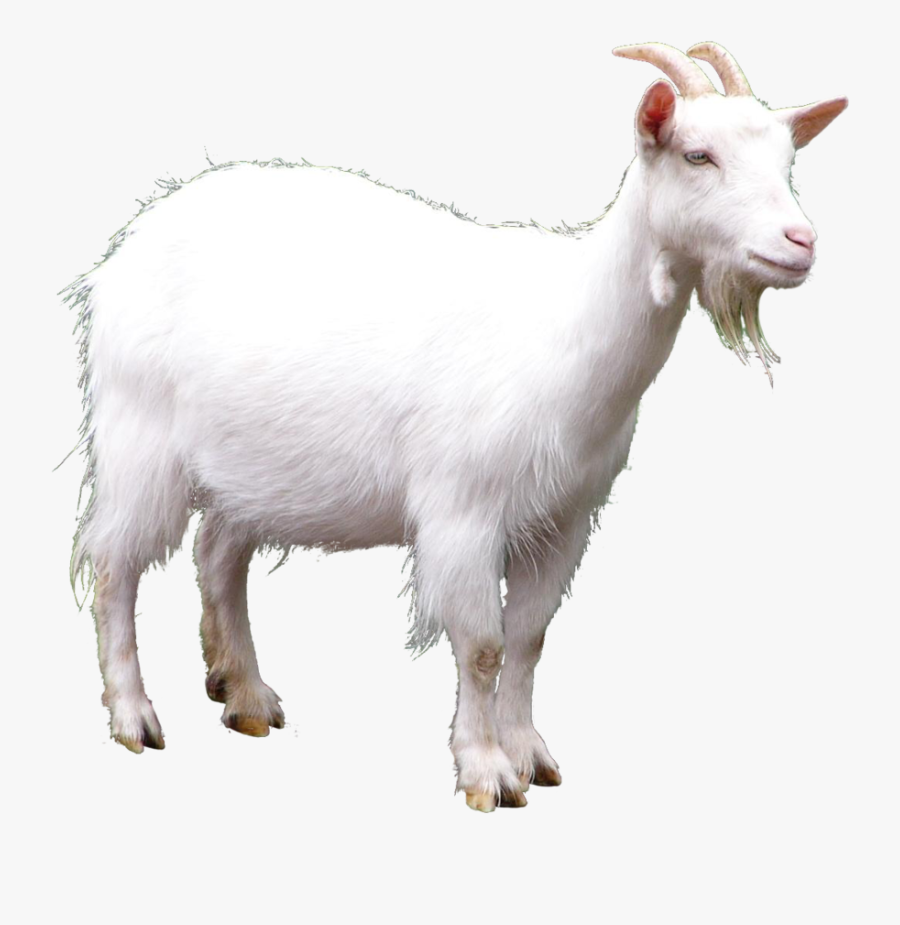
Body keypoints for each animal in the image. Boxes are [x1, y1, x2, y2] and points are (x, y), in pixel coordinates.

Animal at [62, 42, 846, 811]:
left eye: (787, 161)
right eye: (696, 155)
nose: (800, 242)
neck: (566, 323)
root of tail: (135, 238)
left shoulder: (564, 517)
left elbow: (528, 638)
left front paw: (531, 755)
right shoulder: (464, 509)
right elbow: (482, 645)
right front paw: (485, 771)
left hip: (249, 465)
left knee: (219, 556)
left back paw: (247, 696)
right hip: (139, 435)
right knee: (114, 564)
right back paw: (134, 716)